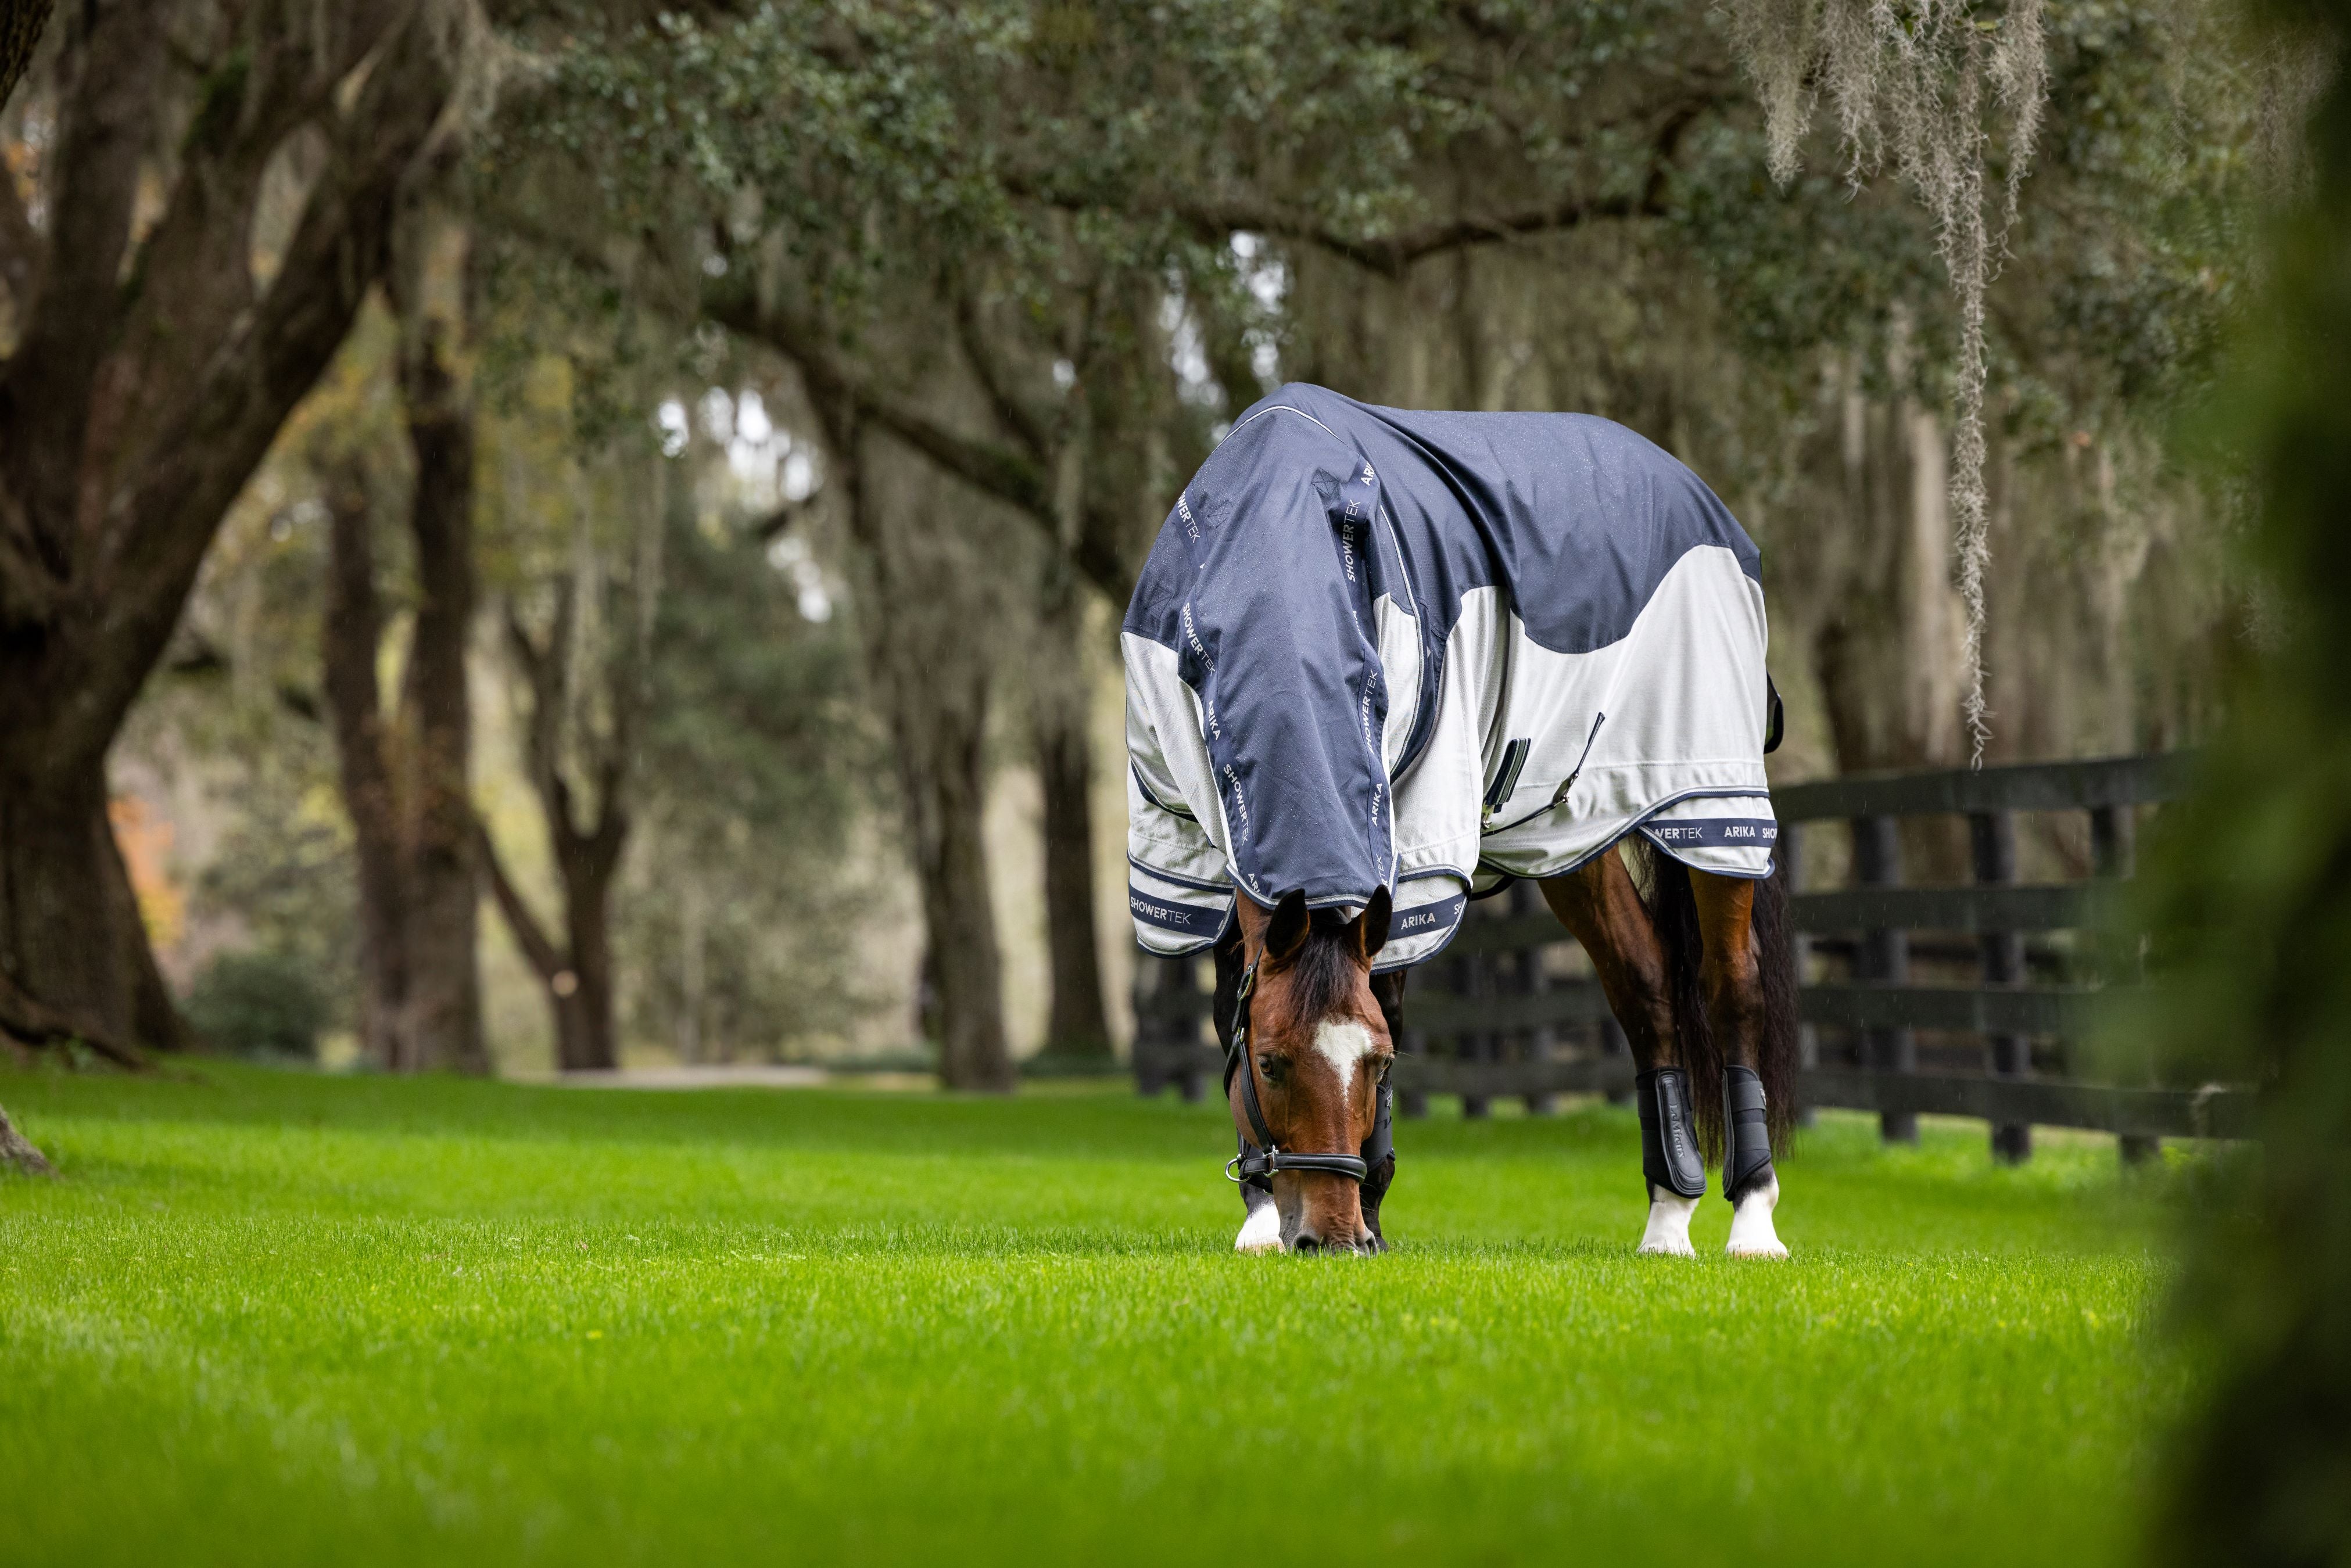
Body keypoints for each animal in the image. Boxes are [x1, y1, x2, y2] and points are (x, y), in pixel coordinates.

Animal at [1122, 384, 1799, 1257]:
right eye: (1269, 1063)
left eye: (1376, 1064)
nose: (1331, 1235)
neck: (1271, 549)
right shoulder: (1202, 856)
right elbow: (1225, 1004)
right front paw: (1262, 1217)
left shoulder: (1412, 853)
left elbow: (1388, 994)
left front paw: (1370, 1204)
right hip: (1568, 835)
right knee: (1644, 984)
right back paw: (1666, 1219)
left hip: (1708, 805)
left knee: (1730, 987)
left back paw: (1752, 1218)